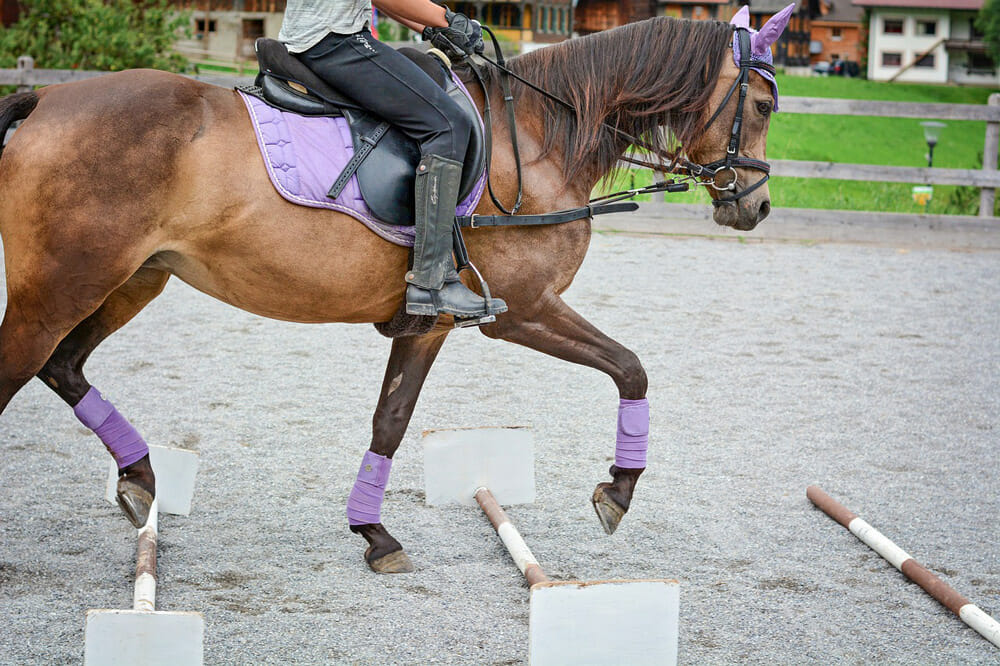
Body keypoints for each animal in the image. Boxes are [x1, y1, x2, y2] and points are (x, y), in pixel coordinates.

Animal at [0, 19, 780, 572]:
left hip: (134, 278)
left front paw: (373, 533)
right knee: (26, 369)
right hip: (61, 288)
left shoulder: (426, 325)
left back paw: (139, 479)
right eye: (767, 103)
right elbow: (631, 368)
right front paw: (616, 492)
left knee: (64, 367)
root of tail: (47, 99)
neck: (537, 139)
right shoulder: (524, 311)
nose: (758, 205)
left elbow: (390, 421)